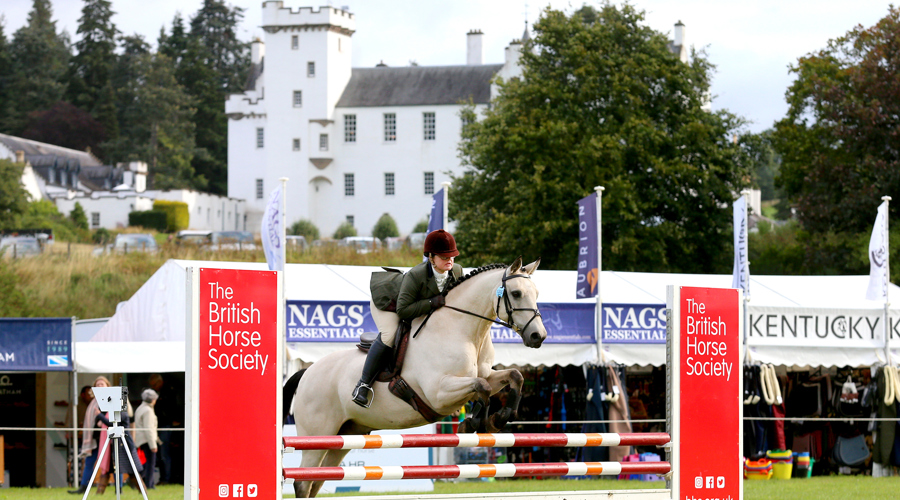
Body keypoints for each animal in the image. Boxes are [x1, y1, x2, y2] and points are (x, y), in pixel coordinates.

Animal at [284, 258, 544, 496]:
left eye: (537, 293)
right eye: (516, 293)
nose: (538, 336)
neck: (463, 332)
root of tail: (307, 372)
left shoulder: (487, 375)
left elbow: (514, 376)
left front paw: (498, 419)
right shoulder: (439, 393)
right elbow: (482, 388)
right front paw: (475, 423)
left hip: (345, 435)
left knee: (317, 481)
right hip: (317, 436)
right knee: (303, 482)